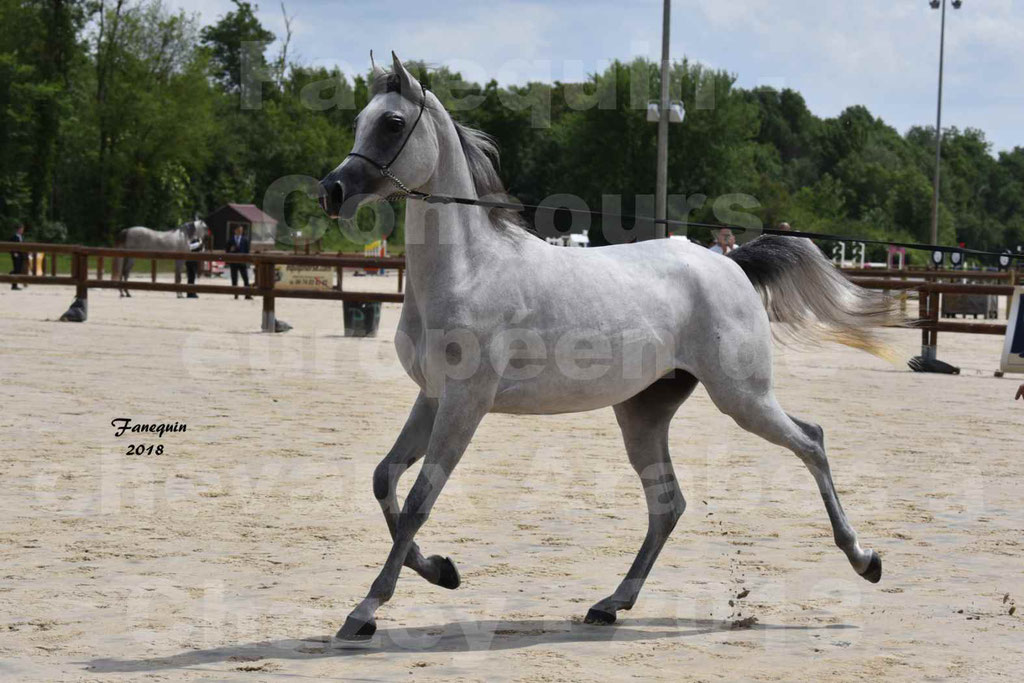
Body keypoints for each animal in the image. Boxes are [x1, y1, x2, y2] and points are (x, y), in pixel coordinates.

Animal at [317, 53, 897, 643]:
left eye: (392, 123)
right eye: (359, 120)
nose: (332, 191)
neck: (470, 269)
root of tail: (729, 262)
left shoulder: (465, 404)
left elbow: (417, 501)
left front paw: (366, 610)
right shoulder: (432, 397)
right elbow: (384, 480)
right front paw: (441, 571)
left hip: (743, 399)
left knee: (811, 442)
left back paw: (865, 559)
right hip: (643, 413)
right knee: (669, 504)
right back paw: (611, 603)